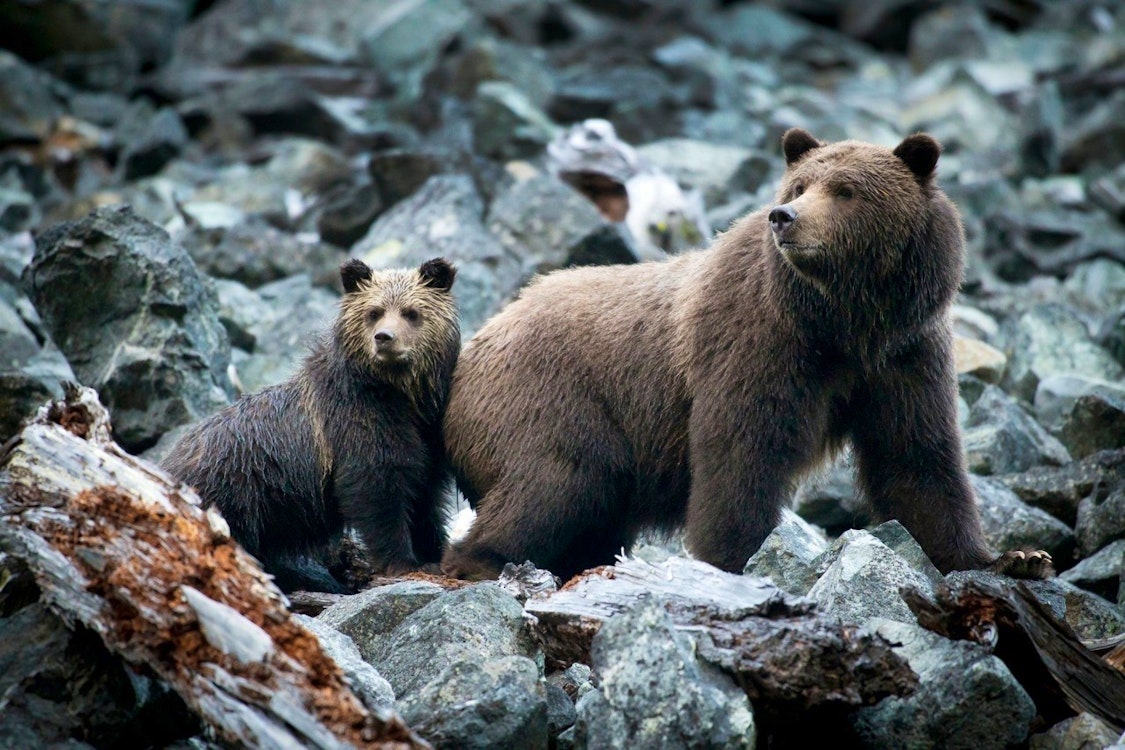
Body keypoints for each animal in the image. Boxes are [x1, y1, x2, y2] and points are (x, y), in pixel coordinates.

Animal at [162, 257, 460, 593]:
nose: (384, 338)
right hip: (232, 492)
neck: (400, 395)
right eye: (374, 312)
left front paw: (435, 552)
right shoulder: (357, 423)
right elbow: (376, 491)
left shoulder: (428, 433)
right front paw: (401, 561)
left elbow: (426, 496)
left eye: (411, 312)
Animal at [440, 129, 1052, 582]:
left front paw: (1013, 558)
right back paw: (481, 559)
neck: (844, 321)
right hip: (547, 397)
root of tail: (478, 341)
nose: (785, 217)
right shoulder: (758, 341)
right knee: (558, 477)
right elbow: (740, 451)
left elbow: (916, 458)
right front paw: (732, 561)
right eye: (801, 183)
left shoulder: (903, 354)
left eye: (846, 190)